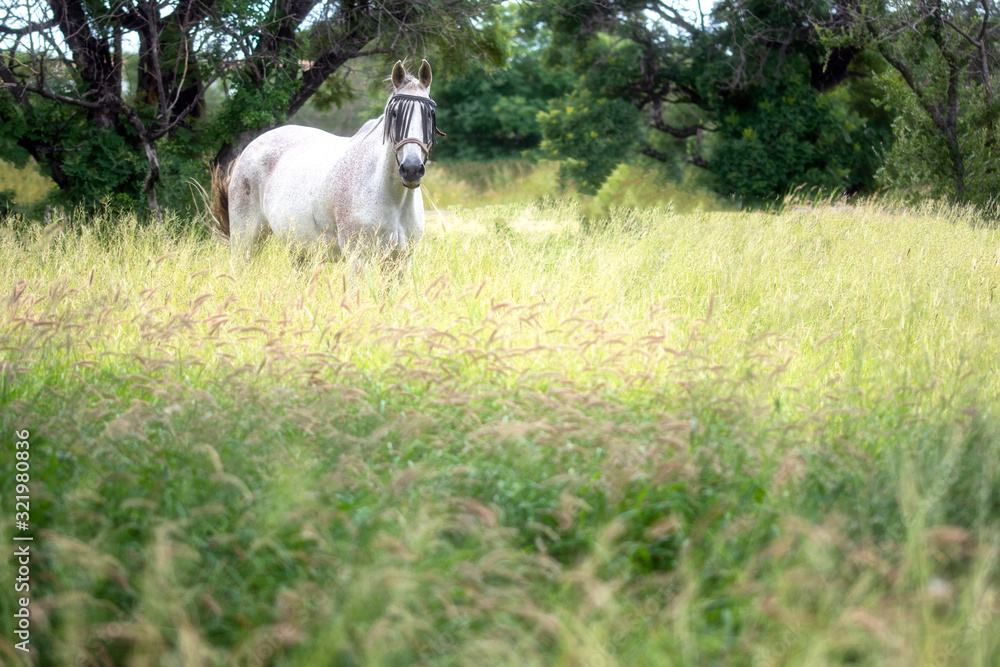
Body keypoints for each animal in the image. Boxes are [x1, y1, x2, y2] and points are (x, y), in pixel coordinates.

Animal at [209, 59, 441, 269]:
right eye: (394, 114)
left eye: (430, 115)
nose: (411, 169)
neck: (392, 198)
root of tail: (248, 150)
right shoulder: (359, 260)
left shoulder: (400, 262)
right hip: (245, 241)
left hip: (300, 251)